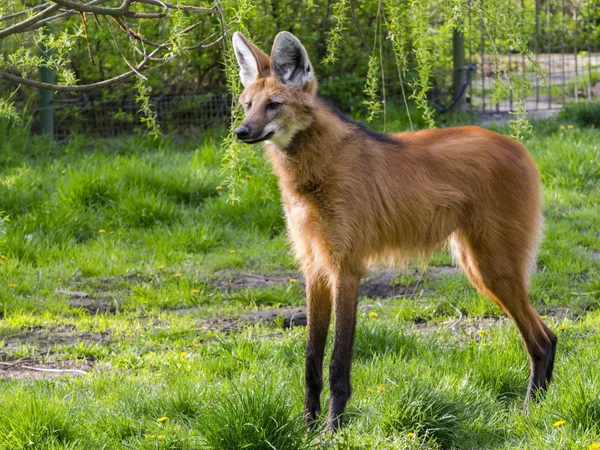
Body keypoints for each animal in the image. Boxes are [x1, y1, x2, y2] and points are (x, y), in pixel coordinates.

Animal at [231, 29, 556, 430]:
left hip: (491, 266)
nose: (241, 131)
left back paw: (528, 414)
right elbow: (311, 361)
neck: (311, 174)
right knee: (550, 335)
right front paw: (307, 427)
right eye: (247, 105)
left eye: (274, 105)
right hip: (477, 264)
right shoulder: (314, 269)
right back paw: (539, 407)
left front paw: (332, 430)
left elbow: (337, 361)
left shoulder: (346, 269)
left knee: (541, 340)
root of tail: (518, 145)